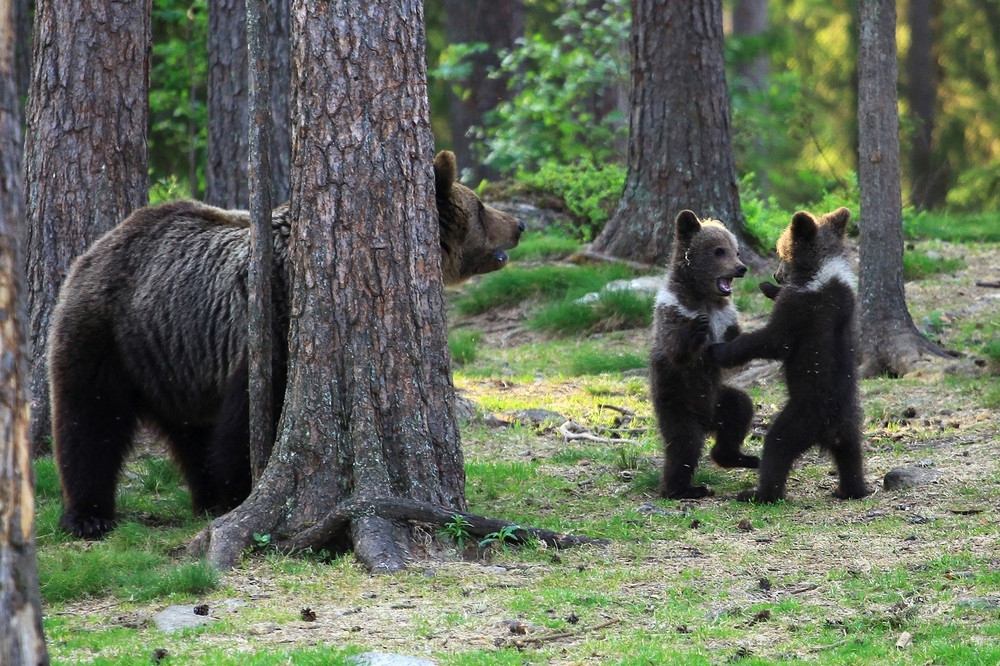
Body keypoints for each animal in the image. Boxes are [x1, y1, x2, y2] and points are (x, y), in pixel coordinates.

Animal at [48, 149, 524, 536]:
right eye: (482, 207)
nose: (519, 224)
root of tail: (101, 242)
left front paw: (227, 494)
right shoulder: (269, 330)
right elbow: (248, 423)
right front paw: (241, 491)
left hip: (174, 356)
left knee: (189, 431)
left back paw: (204, 496)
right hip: (109, 331)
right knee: (90, 417)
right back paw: (89, 515)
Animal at [648, 210, 756, 496]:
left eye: (736, 251)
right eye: (719, 251)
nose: (741, 268)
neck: (703, 296)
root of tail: (707, 423)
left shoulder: (727, 318)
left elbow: (735, 357)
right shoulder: (671, 310)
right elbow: (676, 349)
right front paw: (697, 329)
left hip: (719, 399)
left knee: (740, 409)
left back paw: (738, 457)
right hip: (676, 403)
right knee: (684, 443)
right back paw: (684, 489)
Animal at [712, 205, 868, 500]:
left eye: (781, 253)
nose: (776, 275)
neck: (820, 271)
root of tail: (830, 428)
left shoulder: (800, 308)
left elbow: (774, 340)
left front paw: (720, 349)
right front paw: (768, 288)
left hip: (800, 417)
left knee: (777, 445)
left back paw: (759, 493)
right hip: (851, 423)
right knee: (852, 456)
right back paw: (851, 489)